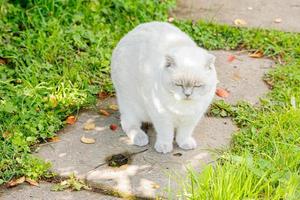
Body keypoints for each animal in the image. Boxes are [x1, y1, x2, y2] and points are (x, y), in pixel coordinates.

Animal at [111, 21, 217, 153]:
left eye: (197, 85)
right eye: (178, 84)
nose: (187, 94)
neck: (182, 107)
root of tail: (130, 32)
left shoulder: (192, 118)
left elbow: (184, 133)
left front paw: (184, 143)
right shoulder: (161, 115)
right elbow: (166, 133)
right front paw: (164, 147)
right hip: (131, 105)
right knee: (128, 123)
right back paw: (140, 138)